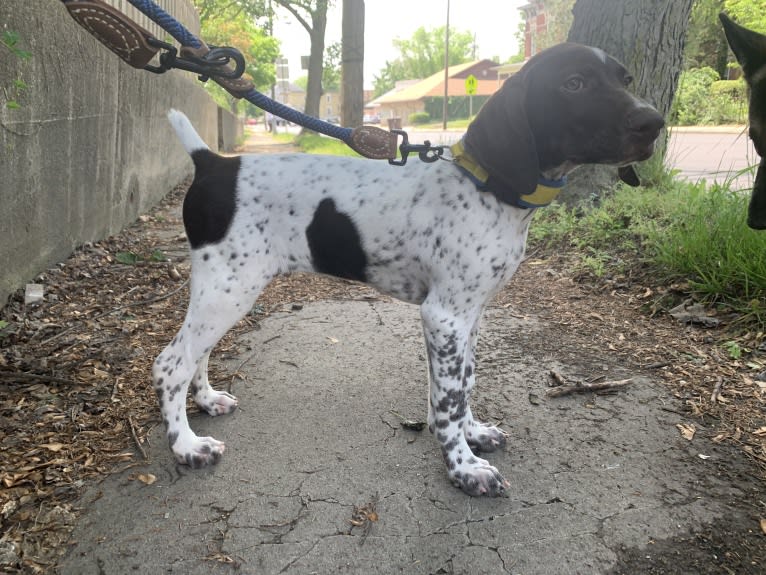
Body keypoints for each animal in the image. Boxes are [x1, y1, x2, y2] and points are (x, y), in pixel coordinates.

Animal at [154, 42, 664, 498]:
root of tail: (212, 163)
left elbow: (463, 384)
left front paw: (473, 434)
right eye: (573, 84)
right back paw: (186, 446)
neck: (488, 188)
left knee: (196, 355)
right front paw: (463, 468)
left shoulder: (469, 316)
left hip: (223, 292)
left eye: (625, 79)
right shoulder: (444, 316)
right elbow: (448, 400)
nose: (654, 122)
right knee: (171, 363)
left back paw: (207, 401)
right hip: (229, 289)